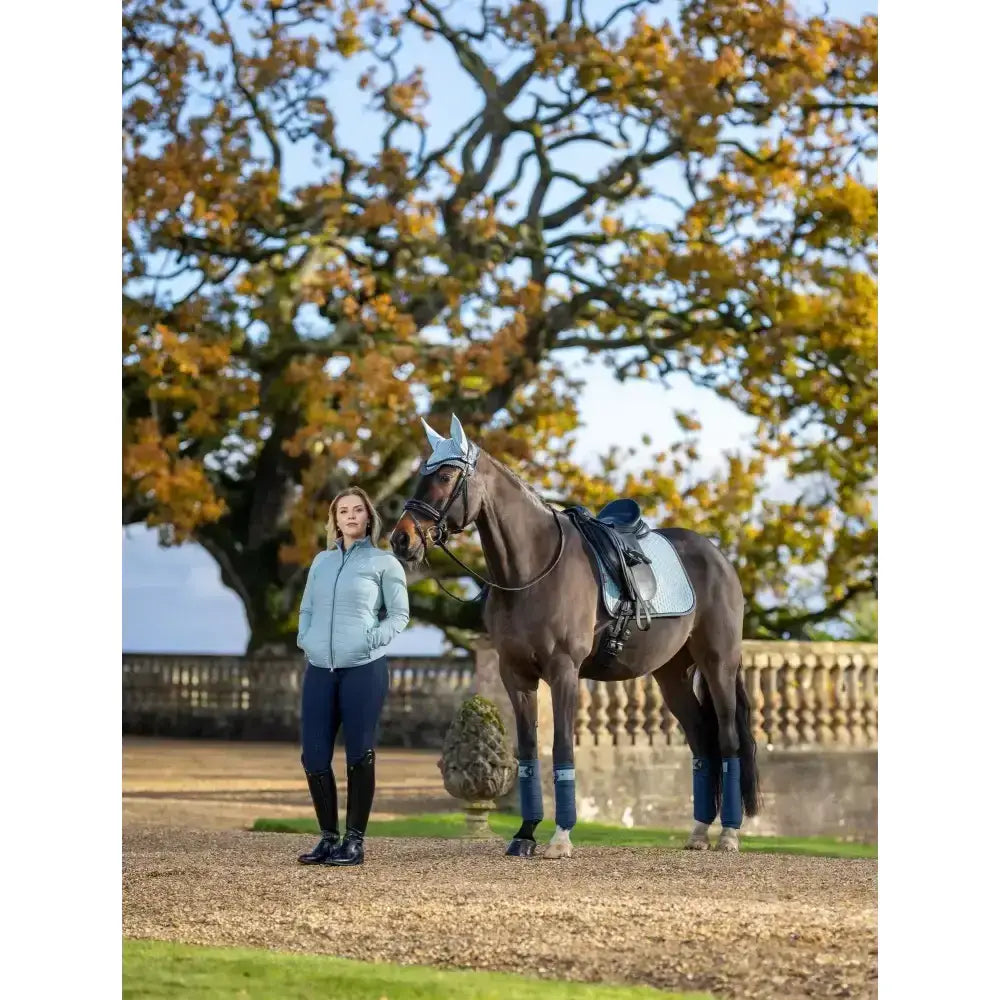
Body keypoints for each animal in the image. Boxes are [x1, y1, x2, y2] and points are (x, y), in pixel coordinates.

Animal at [390, 414, 761, 858]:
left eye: (446, 476)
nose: (401, 539)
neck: (531, 572)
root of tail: (718, 557)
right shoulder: (516, 676)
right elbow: (528, 753)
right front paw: (524, 834)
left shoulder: (563, 671)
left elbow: (562, 748)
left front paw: (560, 838)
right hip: (671, 675)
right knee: (702, 742)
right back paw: (699, 833)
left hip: (718, 665)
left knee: (728, 740)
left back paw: (729, 835)